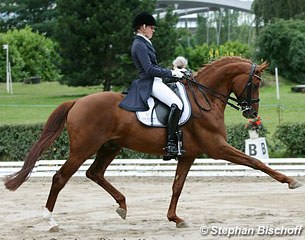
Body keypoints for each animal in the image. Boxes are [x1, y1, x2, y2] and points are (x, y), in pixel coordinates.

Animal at [3, 56, 300, 231]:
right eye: (256, 83)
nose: (251, 113)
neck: (204, 99)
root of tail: (77, 102)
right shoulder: (217, 148)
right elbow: (255, 161)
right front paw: (290, 181)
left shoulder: (188, 155)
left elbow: (177, 186)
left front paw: (175, 218)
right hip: (83, 148)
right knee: (60, 177)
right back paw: (51, 221)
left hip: (110, 147)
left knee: (95, 173)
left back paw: (122, 206)